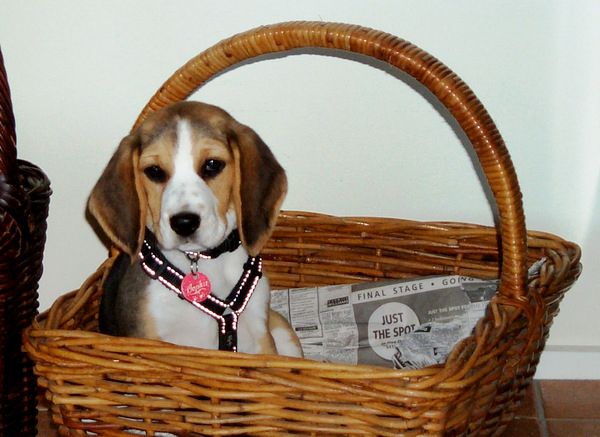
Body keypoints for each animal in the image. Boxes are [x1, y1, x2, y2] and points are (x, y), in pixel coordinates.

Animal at [88, 101, 302, 357]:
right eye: (154, 171)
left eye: (212, 165)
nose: (184, 222)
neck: (201, 261)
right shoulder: (149, 340)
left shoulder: (260, 338)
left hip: (282, 328)